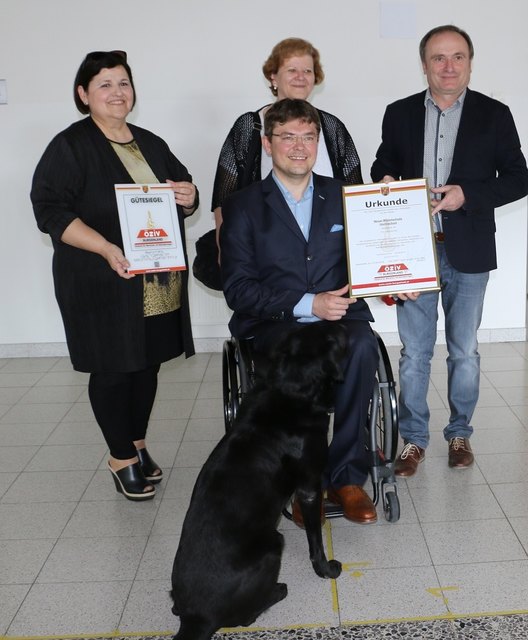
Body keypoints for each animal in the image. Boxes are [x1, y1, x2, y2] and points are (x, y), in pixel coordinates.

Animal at [171, 324, 348, 640]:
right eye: (331, 334)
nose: (345, 323)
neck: (290, 389)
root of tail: (195, 617)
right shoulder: (309, 487)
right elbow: (315, 540)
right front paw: (326, 570)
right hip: (273, 545)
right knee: (245, 618)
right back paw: (277, 591)